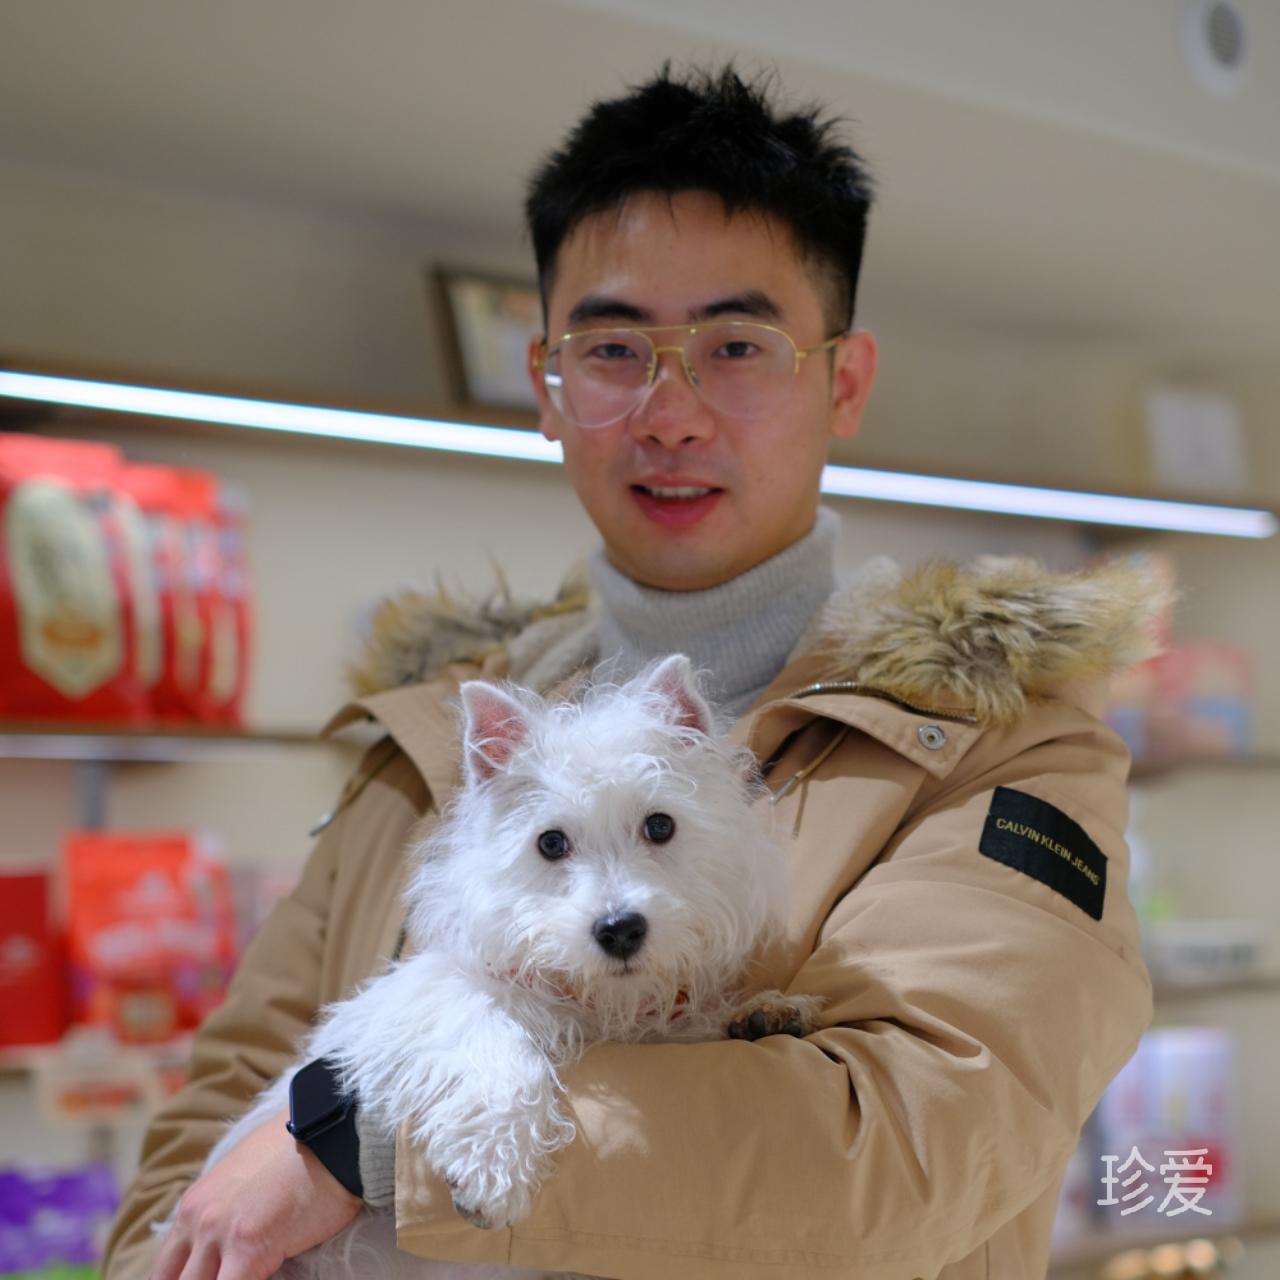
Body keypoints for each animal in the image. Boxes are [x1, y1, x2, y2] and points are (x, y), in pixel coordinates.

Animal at [187, 653, 824, 1279]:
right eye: (551, 843)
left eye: (660, 825)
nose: (620, 929)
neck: (593, 1003)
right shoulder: (421, 1009)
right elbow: (502, 1046)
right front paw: (493, 1173)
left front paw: (766, 1011)